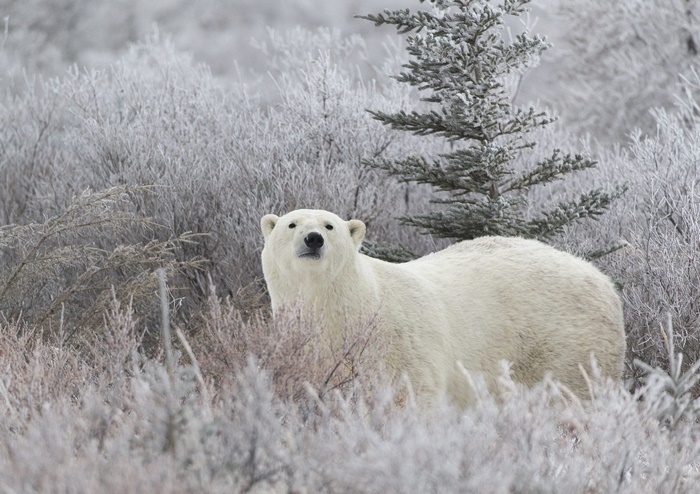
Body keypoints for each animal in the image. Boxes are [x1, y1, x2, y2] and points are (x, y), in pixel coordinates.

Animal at [260, 209, 626, 408]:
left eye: (330, 225)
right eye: (292, 224)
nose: (313, 239)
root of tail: (604, 281)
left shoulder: (400, 344)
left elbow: (407, 397)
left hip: (565, 343)